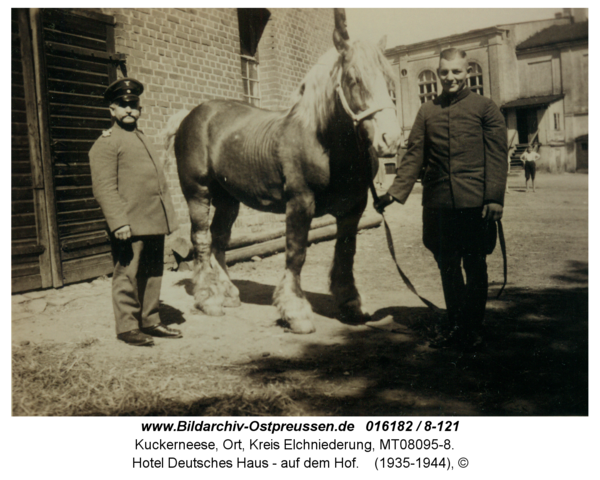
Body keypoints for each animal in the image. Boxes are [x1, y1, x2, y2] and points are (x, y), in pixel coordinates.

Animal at [165, 10, 398, 334]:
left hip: (228, 199)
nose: (391, 139)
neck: (323, 141)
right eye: (354, 79)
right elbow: (296, 252)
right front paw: (295, 311)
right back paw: (207, 298)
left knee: (219, 238)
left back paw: (228, 293)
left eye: (389, 82)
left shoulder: (354, 207)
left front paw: (350, 304)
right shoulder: (300, 202)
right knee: (200, 239)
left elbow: (346, 252)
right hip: (197, 192)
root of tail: (188, 116)